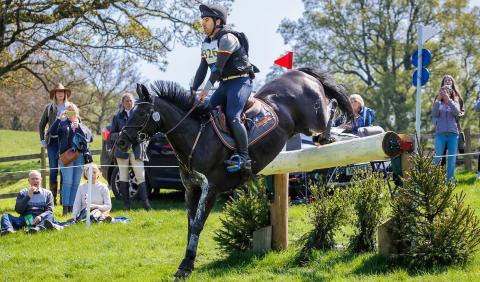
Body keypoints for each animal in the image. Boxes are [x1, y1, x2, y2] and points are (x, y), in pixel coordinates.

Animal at [117, 68, 352, 278]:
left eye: (142, 113)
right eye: (130, 111)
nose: (120, 142)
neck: (196, 138)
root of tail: (303, 74)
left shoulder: (211, 188)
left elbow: (198, 225)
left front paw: (186, 267)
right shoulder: (191, 189)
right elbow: (191, 225)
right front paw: (187, 262)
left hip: (313, 119)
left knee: (330, 108)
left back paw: (329, 134)